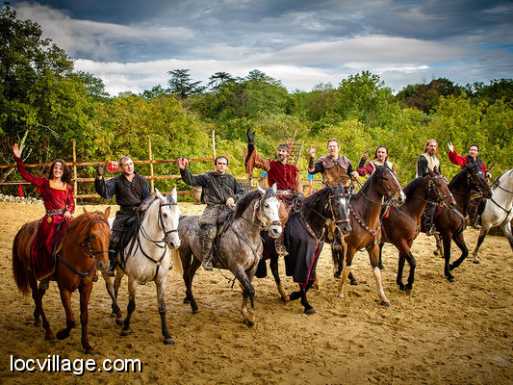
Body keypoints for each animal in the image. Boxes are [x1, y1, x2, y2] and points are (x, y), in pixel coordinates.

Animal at [12, 208, 111, 352]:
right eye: (92, 236)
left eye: (109, 234)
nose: (104, 264)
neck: (78, 258)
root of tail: (25, 227)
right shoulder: (64, 288)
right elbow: (71, 320)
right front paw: (62, 334)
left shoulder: (86, 287)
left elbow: (84, 317)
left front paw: (86, 344)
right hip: (30, 273)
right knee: (36, 297)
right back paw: (48, 331)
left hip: (44, 277)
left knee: (40, 295)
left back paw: (37, 318)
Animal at [103, 188, 181, 344]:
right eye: (164, 214)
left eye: (179, 214)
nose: (175, 243)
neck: (152, 247)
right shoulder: (133, 280)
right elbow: (131, 305)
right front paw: (126, 328)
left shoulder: (161, 281)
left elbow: (162, 307)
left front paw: (167, 335)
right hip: (106, 269)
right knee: (110, 287)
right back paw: (118, 314)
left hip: (120, 270)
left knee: (116, 285)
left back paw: (115, 311)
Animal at [176, 184, 280, 326]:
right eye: (266, 205)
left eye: (278, 205)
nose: (277, 230)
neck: (245, 233)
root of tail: (184, 218)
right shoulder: (237, 268)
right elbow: (250, 290)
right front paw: (251, 317)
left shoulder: (252, 268)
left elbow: (246, 290)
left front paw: (245, 314)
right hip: (185, 253)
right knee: (186, 276)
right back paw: (193, 305)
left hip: (197, 258)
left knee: (190, 276)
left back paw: (190, 300)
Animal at [336, 166, 404, 306]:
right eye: (385, 178)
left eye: (394, 176)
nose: (401, 197)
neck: (364, 215)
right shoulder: (351, 247)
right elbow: (348, 266)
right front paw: (340, 292)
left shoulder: (373, 247)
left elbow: (376, 271)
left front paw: (383, 298)